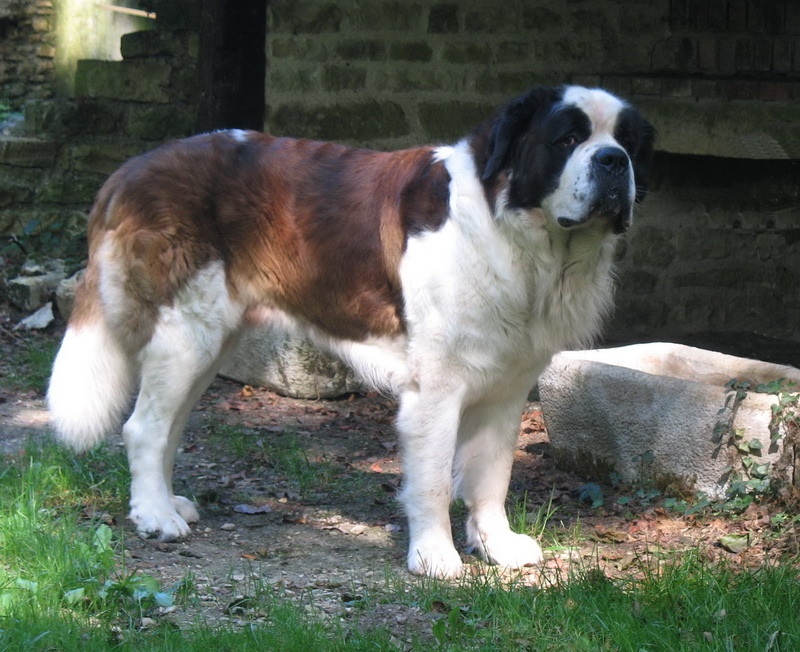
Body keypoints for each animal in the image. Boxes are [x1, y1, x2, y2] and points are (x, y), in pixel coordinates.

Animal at [48, 84, 648, 580]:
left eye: (626, 142)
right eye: (567, 138)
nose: (614, 162)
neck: (523, 238)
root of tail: (134, 167)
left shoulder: (507, 385)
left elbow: (491, 474)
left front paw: (496, 545)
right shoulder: (437, 388)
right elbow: (433, 478)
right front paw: (435, 556)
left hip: (209, 340)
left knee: (169, 427)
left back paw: (169, 503)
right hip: (186, 330)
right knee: (144, 428)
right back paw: (154, 516)